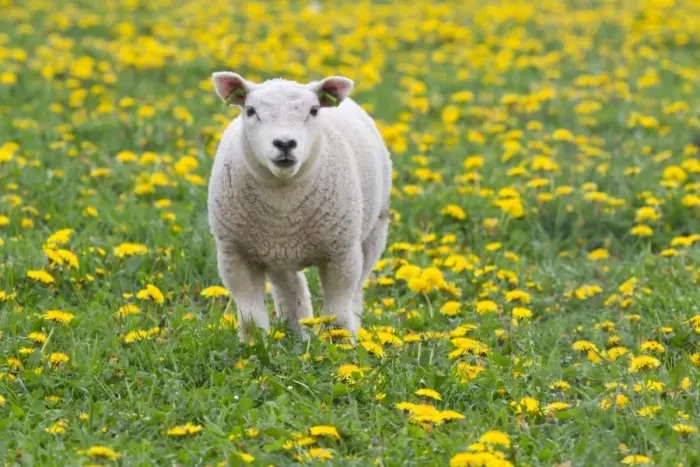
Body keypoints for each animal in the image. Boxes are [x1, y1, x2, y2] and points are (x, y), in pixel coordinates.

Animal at [207, 71, 392, 341]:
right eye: (250, 110)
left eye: (314, 110)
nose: (285, 143)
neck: (284, 202)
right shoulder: (235, 254)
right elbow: (251, 318)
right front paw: (254, 346)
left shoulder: (342, 253)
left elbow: (338, 314)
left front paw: (341, 345)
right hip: (273, 251)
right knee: (290, 287)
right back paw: (298, 333)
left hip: (374, 232)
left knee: (356, 293)